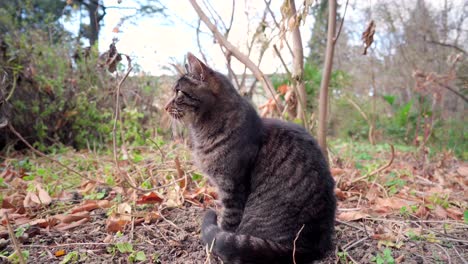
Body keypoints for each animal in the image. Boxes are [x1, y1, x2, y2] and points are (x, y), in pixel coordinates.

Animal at [165, 52, 336, 262]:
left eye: (179, 92)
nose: (165, 107)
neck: (202, 131)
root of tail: (309, 247)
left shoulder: (231, 187)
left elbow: (228, 222)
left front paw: (216, 240)